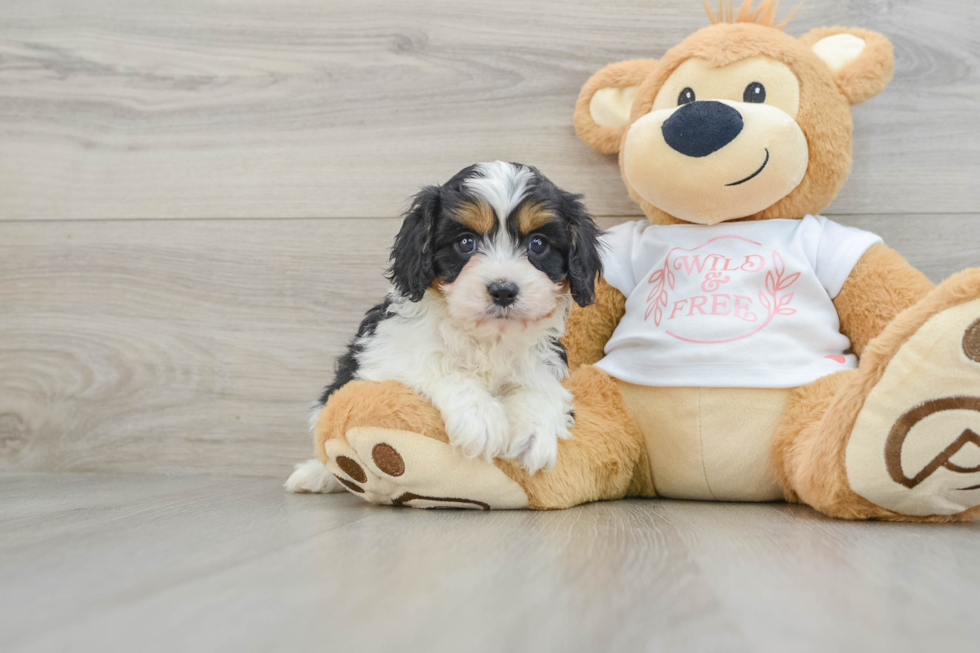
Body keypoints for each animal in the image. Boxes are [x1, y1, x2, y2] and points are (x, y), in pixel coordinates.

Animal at [288, 160, 600, 492]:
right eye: (465, 242)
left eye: (538, 244)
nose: (503, 290)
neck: (487, 336)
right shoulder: (387, 351)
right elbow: (438, 362)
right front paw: (481, 417)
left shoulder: (543, 359)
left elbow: (540, 385)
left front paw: (533, 432)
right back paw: (317, 474)